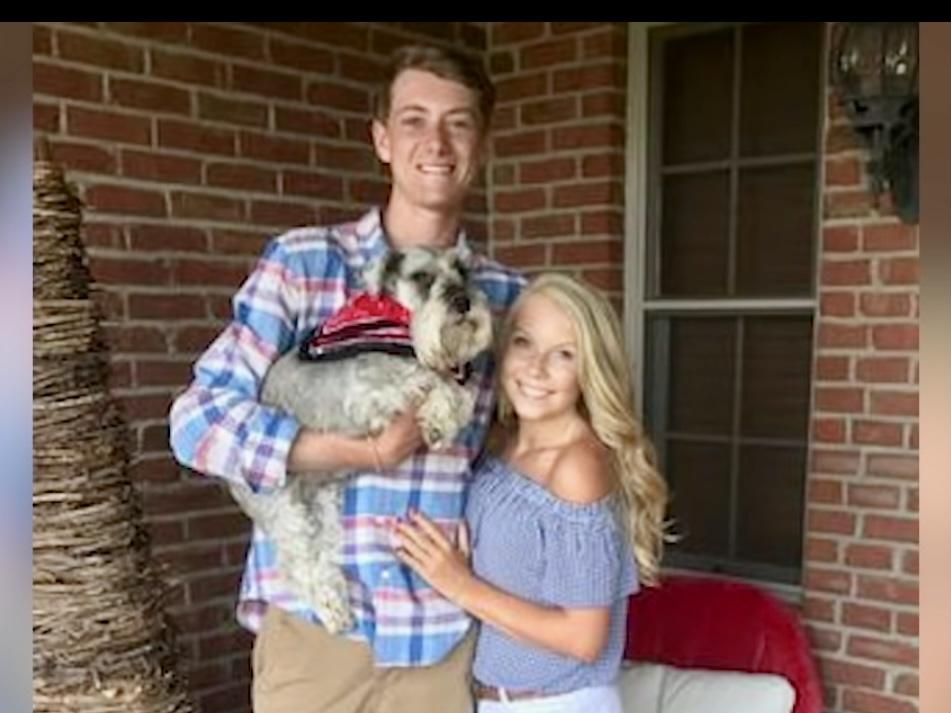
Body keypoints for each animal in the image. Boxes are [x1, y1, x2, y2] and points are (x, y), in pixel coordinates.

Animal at [228, 246, 493, 633]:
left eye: (462, 270)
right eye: (422, 277)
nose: (464, 301)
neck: (397, 321)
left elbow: (461, 392)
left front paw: (443, 418)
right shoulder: (368, 394)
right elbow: (431, 380)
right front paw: (437, 416)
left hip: (325, 506)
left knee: (325, 555)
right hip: (285, 511)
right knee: (298, 564)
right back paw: (332, 611)